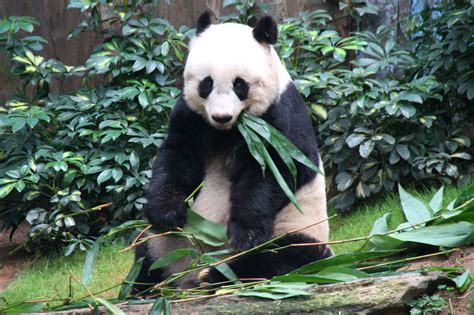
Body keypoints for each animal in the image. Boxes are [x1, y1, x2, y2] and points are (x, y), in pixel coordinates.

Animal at [133, 10, 332, 294]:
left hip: (299, 229)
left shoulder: (280, 116)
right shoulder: (192, 117)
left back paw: (216, 276)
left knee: (283, 258)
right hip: (160, 243)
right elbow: (177, 157)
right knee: (145, 253)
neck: (228, 131)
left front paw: (244, 233)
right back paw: (143, 287)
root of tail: (185, 278)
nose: (221, 116)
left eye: (240, 85)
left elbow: (279, 170)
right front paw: (167, 212)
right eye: (206, 84)